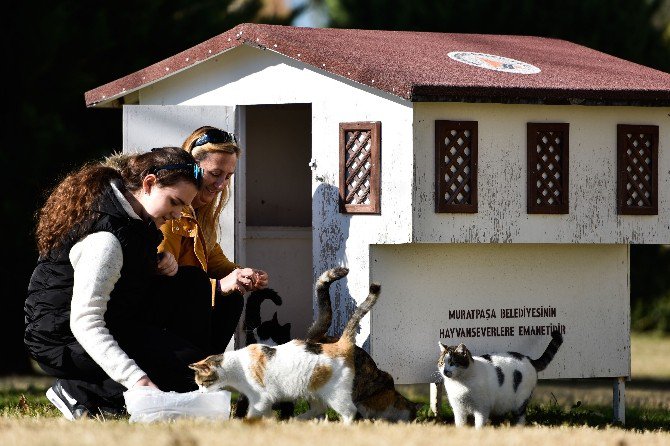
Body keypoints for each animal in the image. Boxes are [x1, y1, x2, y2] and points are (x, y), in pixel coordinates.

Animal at [189, 280, 384, 424]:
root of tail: (341, 344)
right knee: (319, 409)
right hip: (314, 391)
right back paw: (299, 420)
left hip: (336, 393)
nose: (200, 393)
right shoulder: (257, 400)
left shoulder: (261, 398)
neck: (237, 368)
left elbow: (253, 415)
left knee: (350, 412)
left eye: (202, 382)